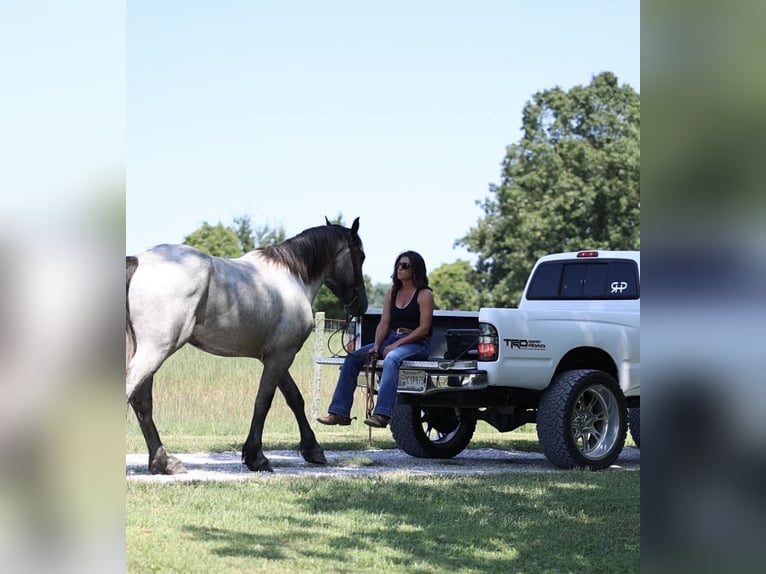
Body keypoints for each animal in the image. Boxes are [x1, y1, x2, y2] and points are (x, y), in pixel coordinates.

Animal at [125, 218, 368, 474]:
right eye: (360, 256)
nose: (361, 305)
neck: (293, 276)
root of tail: (139, 260)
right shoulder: (281, 357)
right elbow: (264, 401)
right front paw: (257, 457)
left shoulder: (274, 356)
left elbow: (294, 398)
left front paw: (312, 449)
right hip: (156, 349)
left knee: (142, 402)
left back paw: (164, 461)